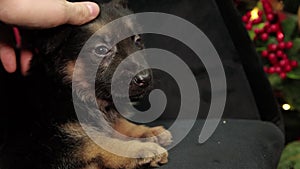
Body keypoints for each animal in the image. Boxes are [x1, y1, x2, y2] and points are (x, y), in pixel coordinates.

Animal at [0, 0, 171, 168]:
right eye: (101, 50)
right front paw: (141, 148)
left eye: (138, 41)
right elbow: (100, 143)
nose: (145, 79)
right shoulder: (52, 144)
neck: (64, 90)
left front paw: (148, 132)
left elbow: (118, 123)